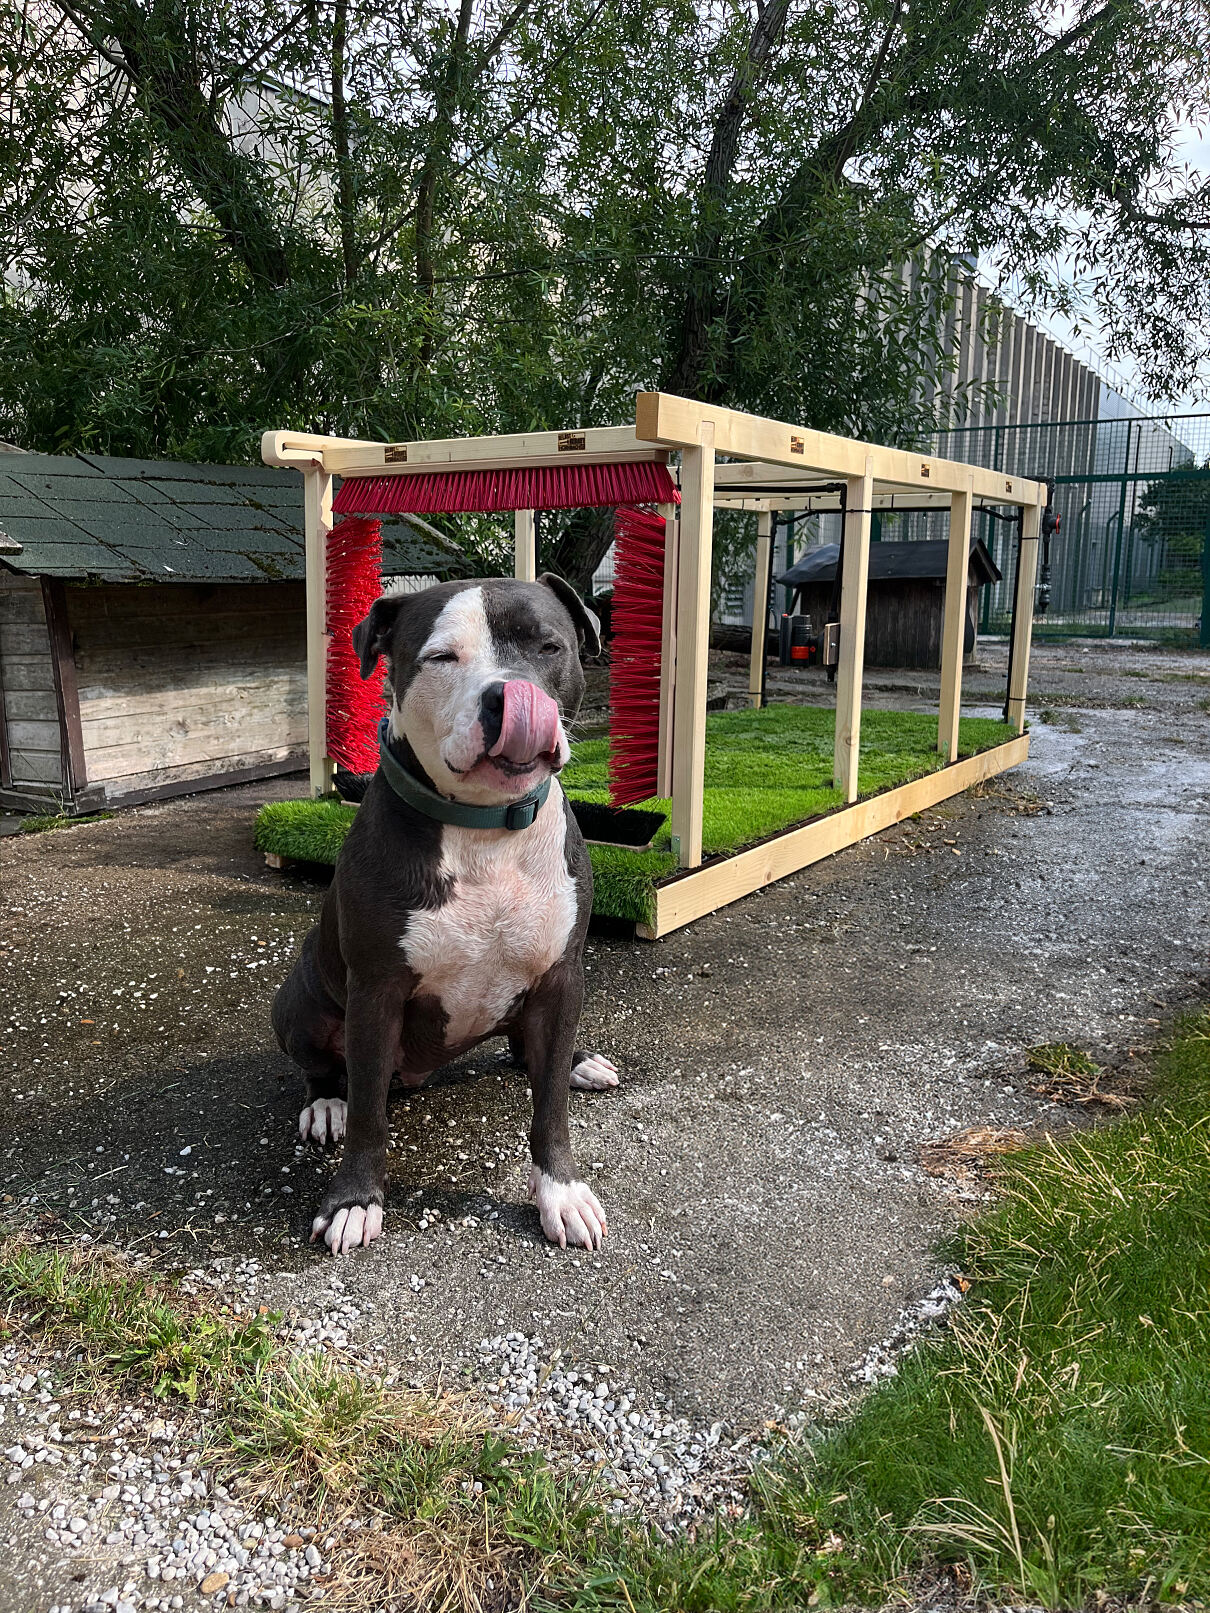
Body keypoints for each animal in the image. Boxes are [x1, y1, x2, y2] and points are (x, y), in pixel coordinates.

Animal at [271, 580, 619, 1258]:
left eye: (549, 646)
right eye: (441, 657)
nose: (509, 696)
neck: (484, 829)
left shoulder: (562, 974)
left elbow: (550, 1108)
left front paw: (560, 1193)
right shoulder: (376, 991)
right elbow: (369, 1115)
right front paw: (354, 1201)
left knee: (530, 1049)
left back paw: (576, 1060)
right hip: (298, 998)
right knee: (327, 1069)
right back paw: (326, 1104)